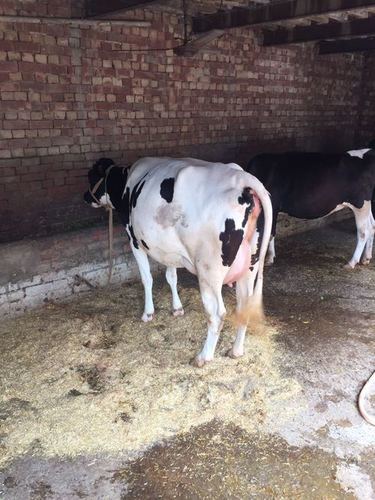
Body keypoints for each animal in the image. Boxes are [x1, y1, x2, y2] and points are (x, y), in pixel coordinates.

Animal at [84, 157, 274, 368]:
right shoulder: (170, 250)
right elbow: (171, 276)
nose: (85, 197)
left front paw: (148, 313)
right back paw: (236, 351)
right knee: (244, 306)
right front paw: (177, 308)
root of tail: (242, 179)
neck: (126, 181)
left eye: (91, 175)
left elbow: (147, 278)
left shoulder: (133, 240)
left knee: (217, 314)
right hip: (250, 265)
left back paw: (203, 357)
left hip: (208, 271)